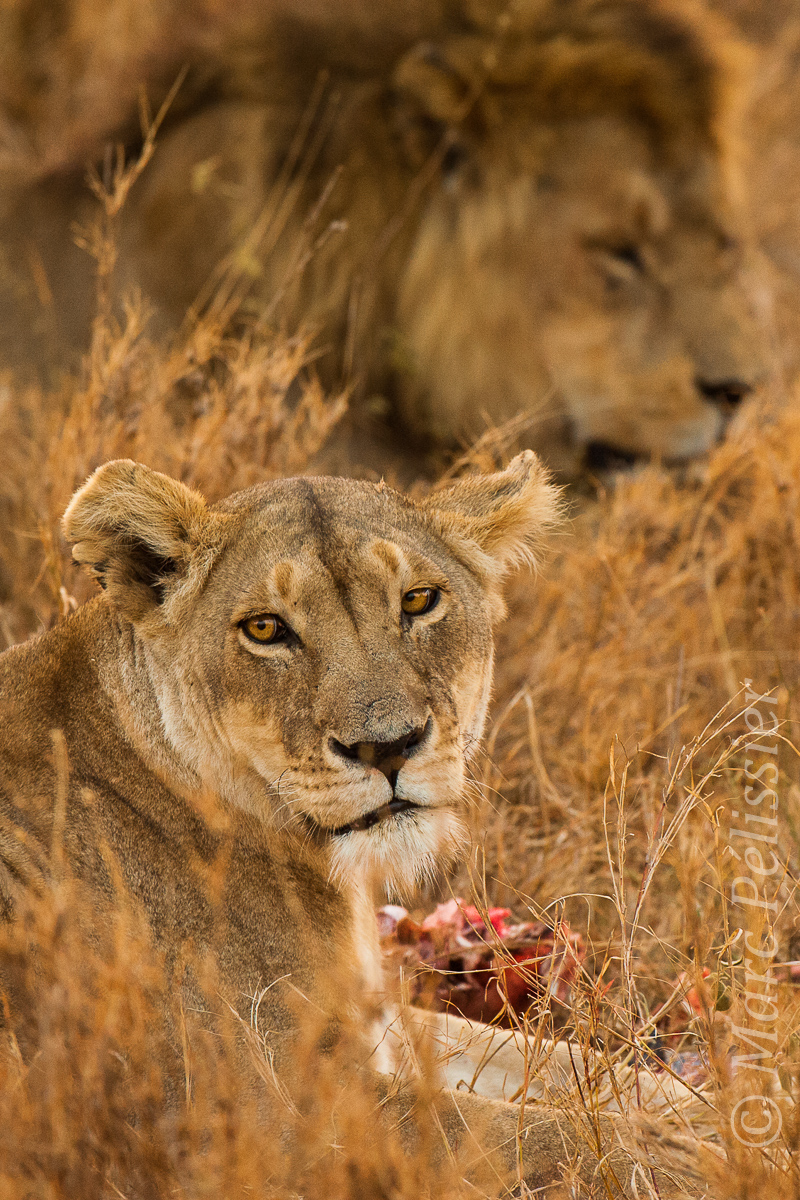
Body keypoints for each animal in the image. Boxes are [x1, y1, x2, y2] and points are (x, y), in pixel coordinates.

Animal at [0, 453, 690, 1195]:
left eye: (418, 600)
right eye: (265, 629)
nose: (387, 746)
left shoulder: (380, 1020)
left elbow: (577, 1064)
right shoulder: (270, 1120)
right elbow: (560, 1137)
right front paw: (699, 1153)